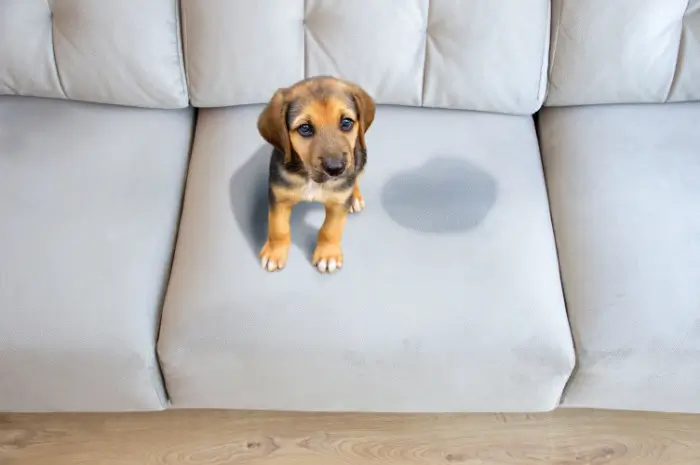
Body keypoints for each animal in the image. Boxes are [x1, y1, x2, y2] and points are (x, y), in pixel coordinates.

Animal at [258, 75, 374, 272]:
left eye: (346, 122)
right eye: (305, 128)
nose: (336, 169)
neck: (311, 178)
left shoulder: (338, 203)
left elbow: (331, 229)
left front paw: (328, 255)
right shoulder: (278, 197)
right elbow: (277, 227)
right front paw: (274, 251)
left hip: (360, 154)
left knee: (356, 174)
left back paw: (355, 197)